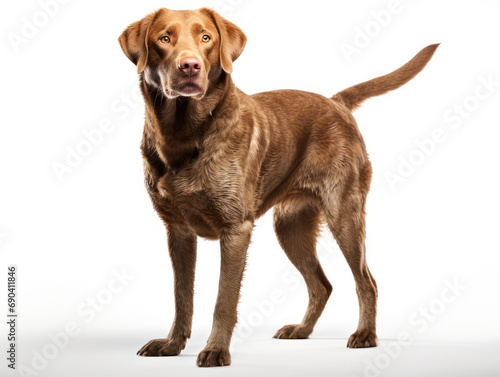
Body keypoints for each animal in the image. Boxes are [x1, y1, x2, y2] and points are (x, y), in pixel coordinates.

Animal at [117, 7, 438, 366]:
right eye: (164, 38)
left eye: (206, 38)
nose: (189, 65)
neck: (185, 134)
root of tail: (336, 102)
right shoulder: (178, 231)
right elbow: (181, 296)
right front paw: (172, 344)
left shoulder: (236, 229)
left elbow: (223, 300)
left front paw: (216, 350)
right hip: (290, 225)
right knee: (321, 285)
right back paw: (301, 329)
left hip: (345, 214)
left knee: (366, 281)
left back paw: (365, 334)